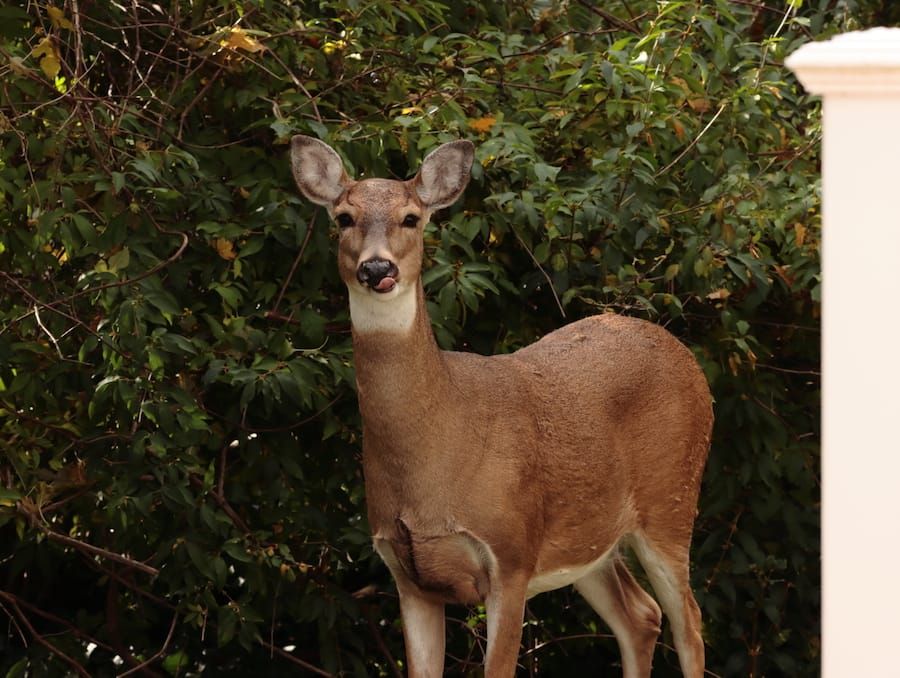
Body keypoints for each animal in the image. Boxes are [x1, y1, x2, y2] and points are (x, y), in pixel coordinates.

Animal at [290, 135, 713, 678]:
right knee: (641, 615)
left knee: (690, 623)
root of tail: (689, 361)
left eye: (411, 218)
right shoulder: (406, 575)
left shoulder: (510, 556)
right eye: (344, 217)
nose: (377, 269)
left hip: (673, 500)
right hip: (589, 539)